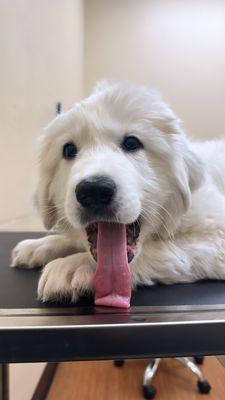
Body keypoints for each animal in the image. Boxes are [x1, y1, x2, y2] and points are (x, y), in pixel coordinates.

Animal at [11, 81, 225, 304]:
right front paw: (38, 246)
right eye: (69, 150)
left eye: (132, 143)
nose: (94, 190)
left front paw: (73, 265)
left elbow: (161, 248)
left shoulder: (217, 235)